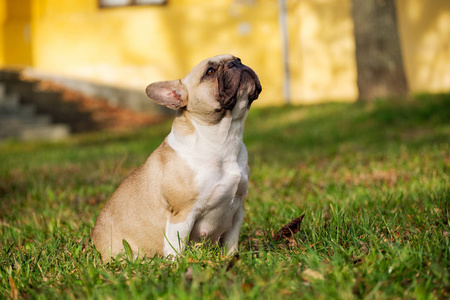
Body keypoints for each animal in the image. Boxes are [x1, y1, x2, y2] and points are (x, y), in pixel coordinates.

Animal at [90, 55, 260, 262]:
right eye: (210, 72)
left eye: (238, 58)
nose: (237, 63)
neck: (223, 139)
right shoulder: (182, 214)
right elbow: (176, 246)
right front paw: (177, 265)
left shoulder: (237, 210)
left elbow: (231, 242)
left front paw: (231, 258)